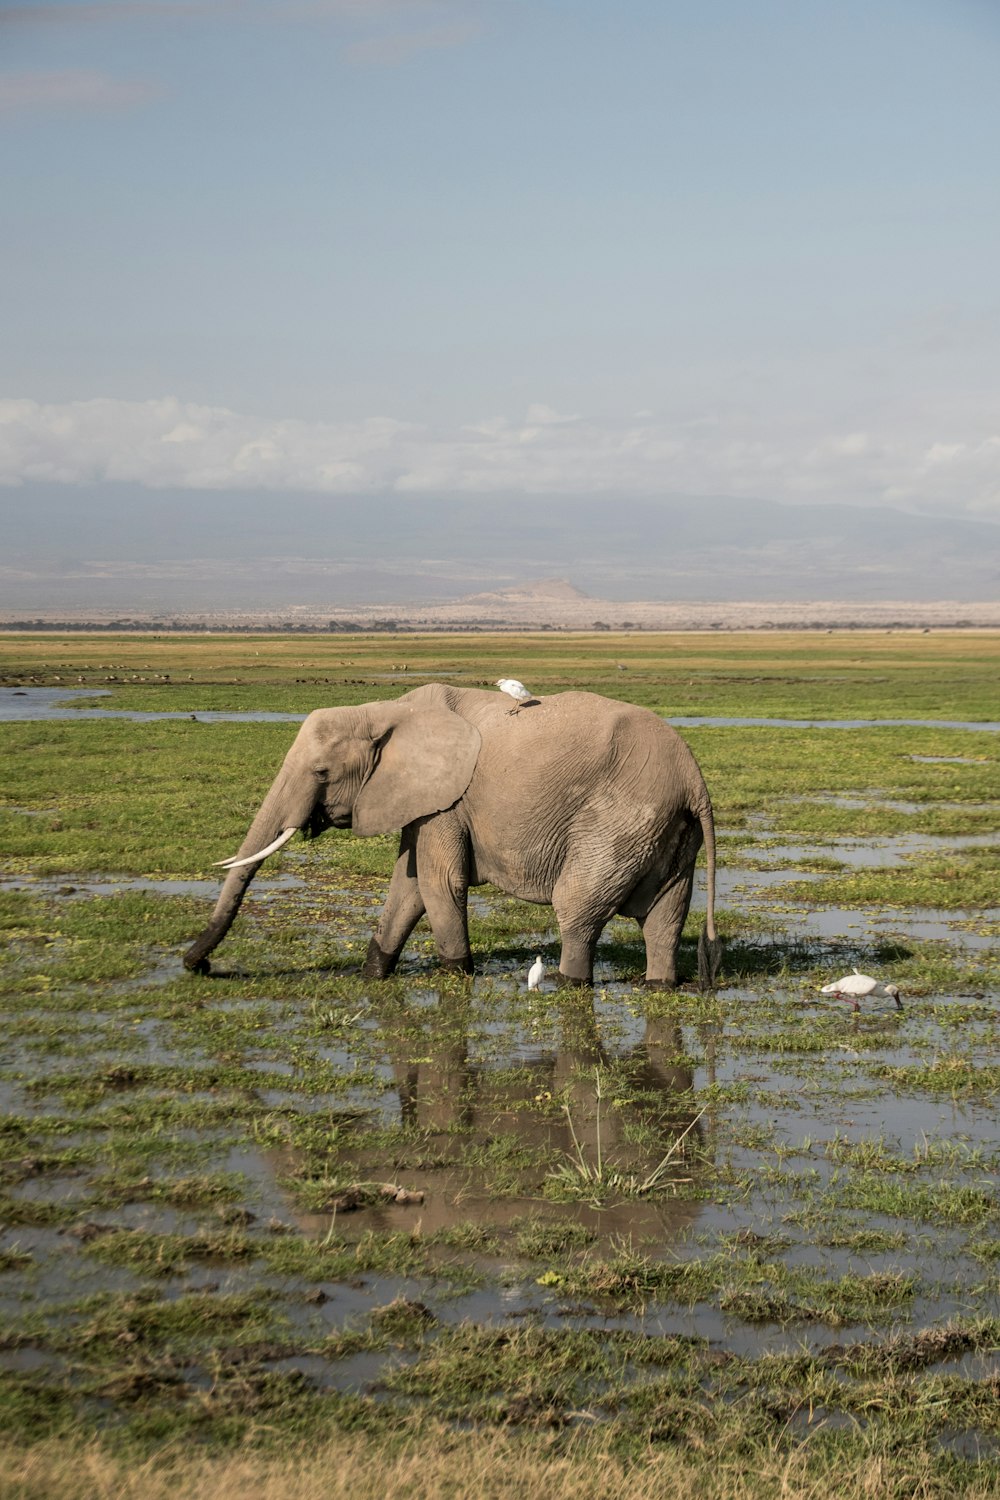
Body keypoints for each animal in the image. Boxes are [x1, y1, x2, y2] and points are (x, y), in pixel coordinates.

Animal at [183, 678, 719, 984]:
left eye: (320, 772)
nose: (198, 966)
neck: (384, 710)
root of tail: (693, 778)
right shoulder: (422, 801)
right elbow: (407, 887)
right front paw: (371, 976)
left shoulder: (448, 800)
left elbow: (439, 885)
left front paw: (458, 975)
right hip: (668, 830)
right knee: (665, 919)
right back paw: (659, 984)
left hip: (618, 821)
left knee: (577, 910)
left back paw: (571, 983)